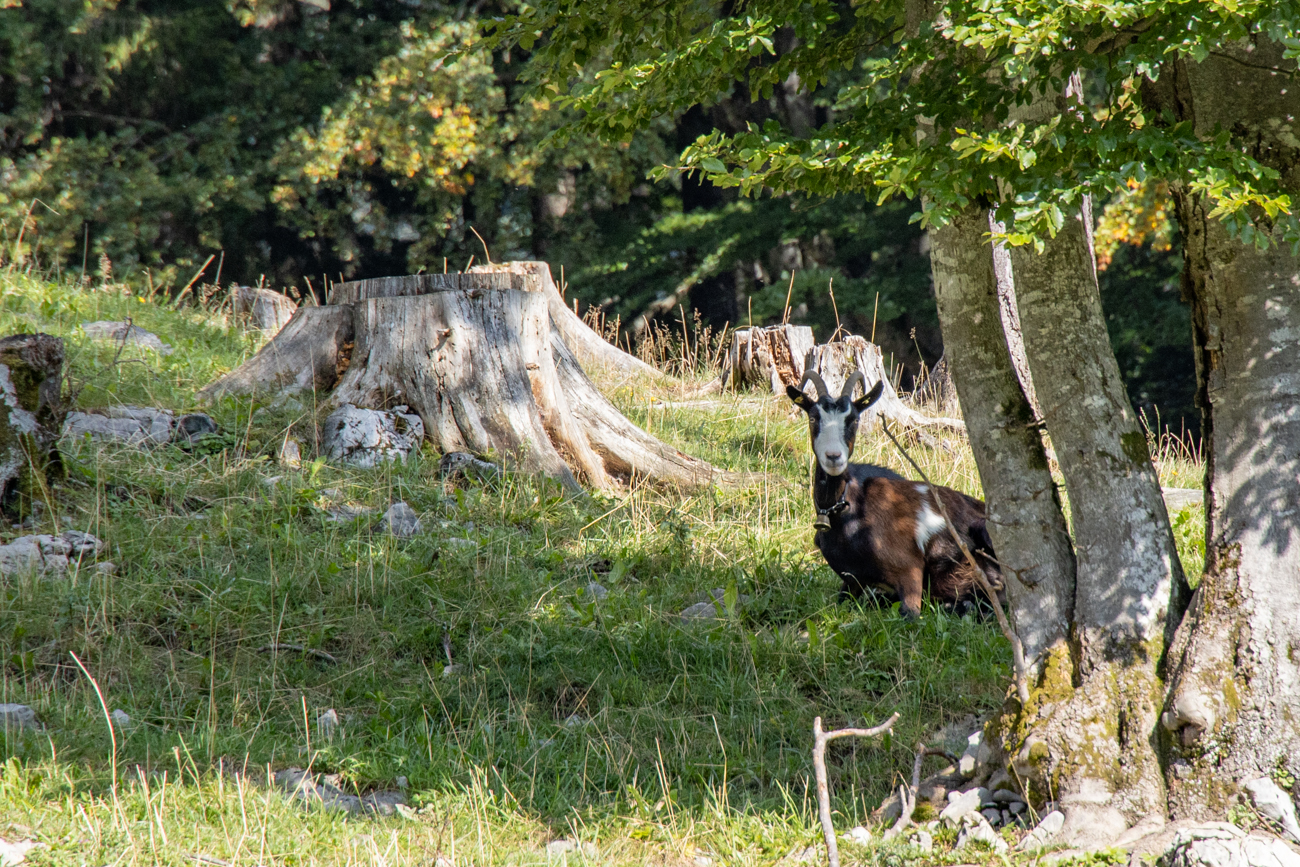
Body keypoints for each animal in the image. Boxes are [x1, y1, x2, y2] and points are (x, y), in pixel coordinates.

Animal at [787, 370, 1003, 618]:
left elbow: (910, 614)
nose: (833, 457)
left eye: (854, 419)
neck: (849, 510)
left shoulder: (909, 568)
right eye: (813, 418)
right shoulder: (852, 581)